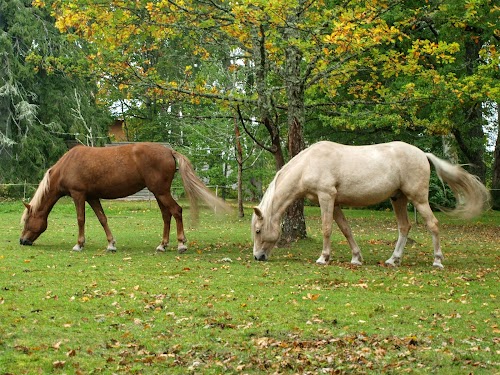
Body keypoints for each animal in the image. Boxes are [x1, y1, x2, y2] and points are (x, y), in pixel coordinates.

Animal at [20, 142, 230, 254]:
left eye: (27, 221)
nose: (22, 241)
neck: (68, 165)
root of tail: (169, 151)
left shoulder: (78, 195)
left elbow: (81, 219)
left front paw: (79, 244)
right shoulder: (92, 197)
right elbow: (102, 219)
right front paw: (111, 244)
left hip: (161, 192)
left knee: (176, 211)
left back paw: (181, 244)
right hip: (158, 193)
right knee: (166, 215)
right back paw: (162, 245)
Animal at [252, 141, 490, 268]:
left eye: (258, 230)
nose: (258, 257)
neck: (310, 163)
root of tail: (422, 153)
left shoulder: (326, 197)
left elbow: (327, 228)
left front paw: (323, 257)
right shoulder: (335, 203)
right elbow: (346, 229)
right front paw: (356, 258)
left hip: (418, 199)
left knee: (433, 224)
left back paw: (437, 261)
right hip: (398, 199)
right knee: (404, 227)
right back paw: (393, 259)